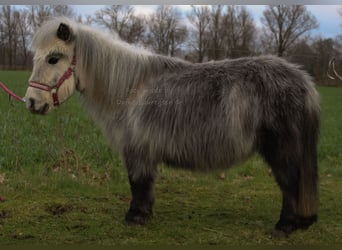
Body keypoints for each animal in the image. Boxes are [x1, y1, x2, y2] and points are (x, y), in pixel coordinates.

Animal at [24, 17, 320, 236]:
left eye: (53, 58)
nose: (31, 102)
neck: (129, 88)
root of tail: (303, 81)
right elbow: (144, 185)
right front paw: (143, 214)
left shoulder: (137, 150)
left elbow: (138, 183)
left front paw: (135, 216)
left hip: (281, 150)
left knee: (290, 183)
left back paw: (284, 226)